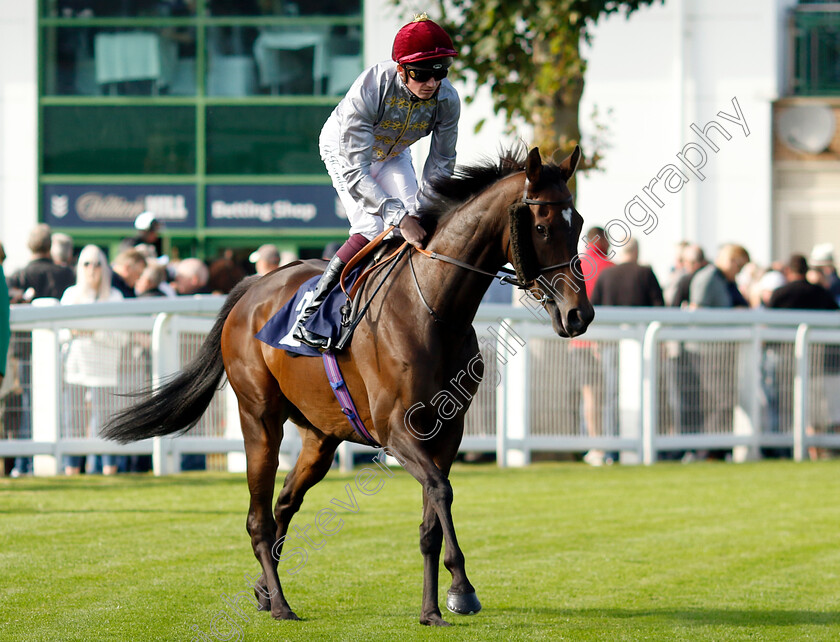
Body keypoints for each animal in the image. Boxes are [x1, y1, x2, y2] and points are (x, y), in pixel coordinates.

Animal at [103, 145, 592, 624]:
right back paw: (280, 604)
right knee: (258, 517)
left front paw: (433, 608)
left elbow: (431, 518)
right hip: (259, 419)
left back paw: (264, 588)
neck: (433, 309)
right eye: (543, 225)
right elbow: (441, 490)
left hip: (321, 435)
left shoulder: (448, 430)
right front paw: (463, 589)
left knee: (284, 503)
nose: (579, 314)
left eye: (580, 223)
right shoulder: (396, 430)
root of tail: (253, 286)